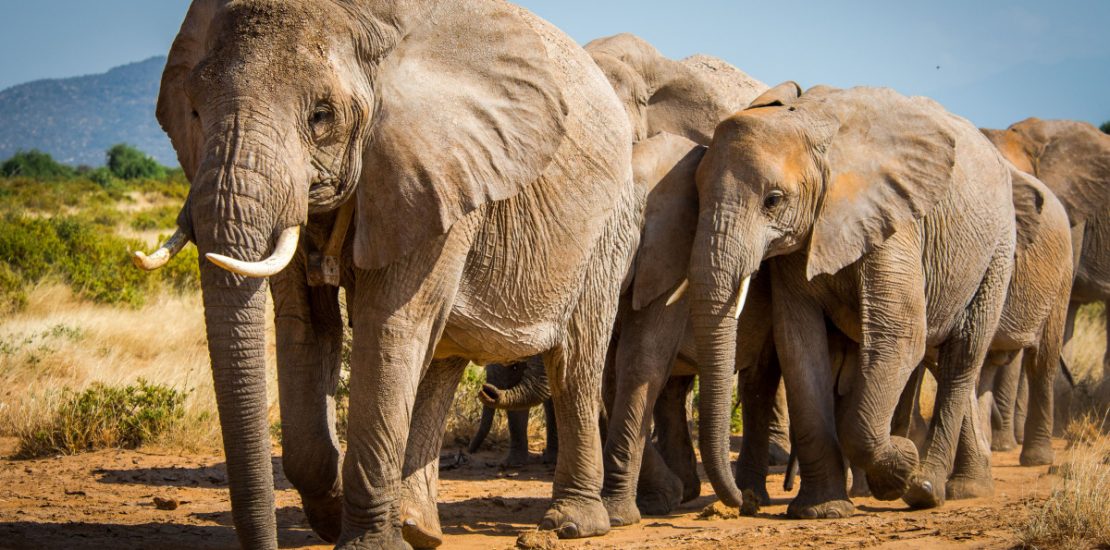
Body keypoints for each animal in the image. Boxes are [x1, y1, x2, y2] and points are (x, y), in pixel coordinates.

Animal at [132, 2, 643, 548]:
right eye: (194, 111)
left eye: (321, 116)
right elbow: (305, 326)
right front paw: (333, 513)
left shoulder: (438, 166)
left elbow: (387, 325)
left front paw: (366, 539)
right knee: (444, 358)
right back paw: (419, 526)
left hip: (607, 228)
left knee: (574, 363)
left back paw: (571, 523)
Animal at [688, 82, 1016, 515]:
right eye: (695, 197)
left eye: (773, 200)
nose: (747, 503)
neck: (810, 123)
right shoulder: (799, 244)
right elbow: (799, 344)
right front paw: (820, 511)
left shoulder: (893, 220)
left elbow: (900, 333)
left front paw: (901, 465)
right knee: (935, 355)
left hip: (998, 248)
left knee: (961, 356)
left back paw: (926, 488)